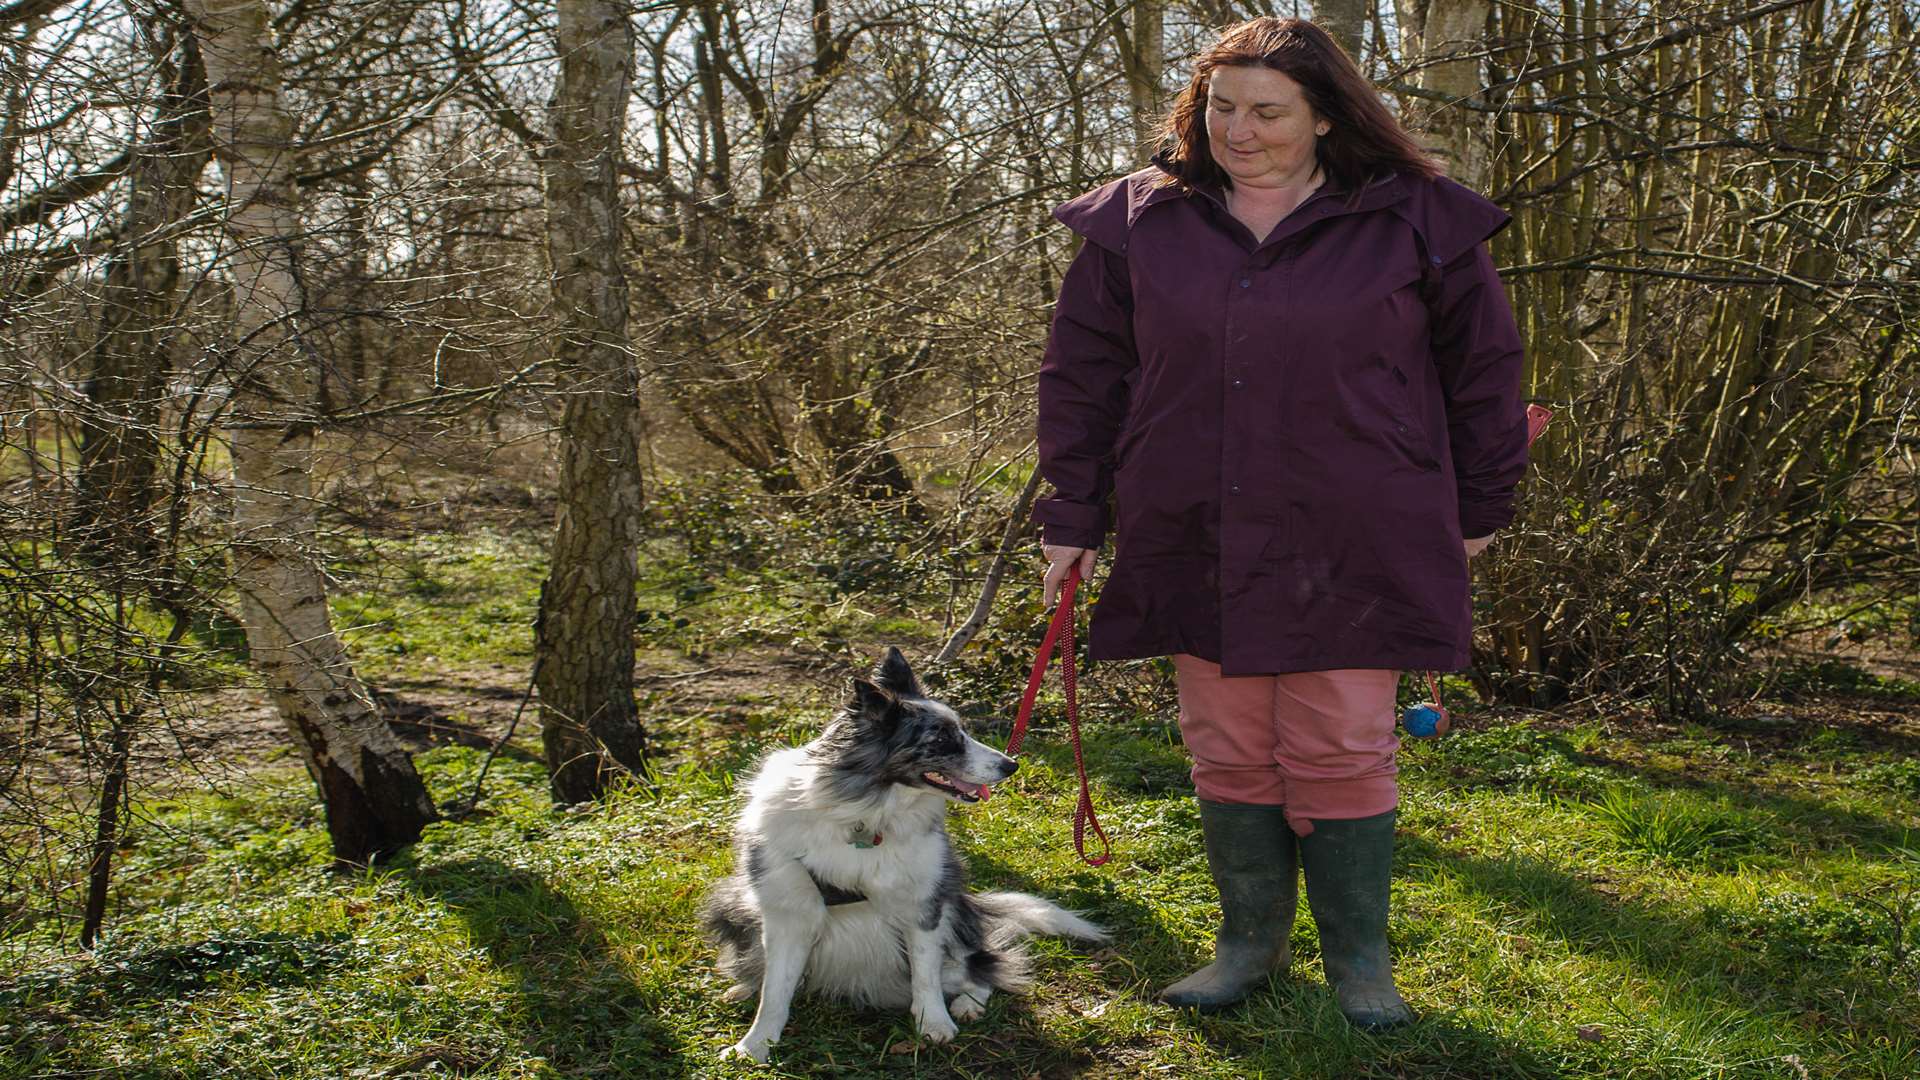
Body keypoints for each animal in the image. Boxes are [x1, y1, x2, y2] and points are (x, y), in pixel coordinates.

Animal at [702, 641, 1113, 1053]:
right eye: (942, 739)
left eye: (962, 731)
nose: (1010, 765)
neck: (864, 816)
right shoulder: (787, 911)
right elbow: (776, 989)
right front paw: (756, 1046)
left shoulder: (924, 906)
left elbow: (926, 975)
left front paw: (934, 1023)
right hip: (731, 904)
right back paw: (744, 986)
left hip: (955, 919)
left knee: (984, 966)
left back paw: (967, 1004)